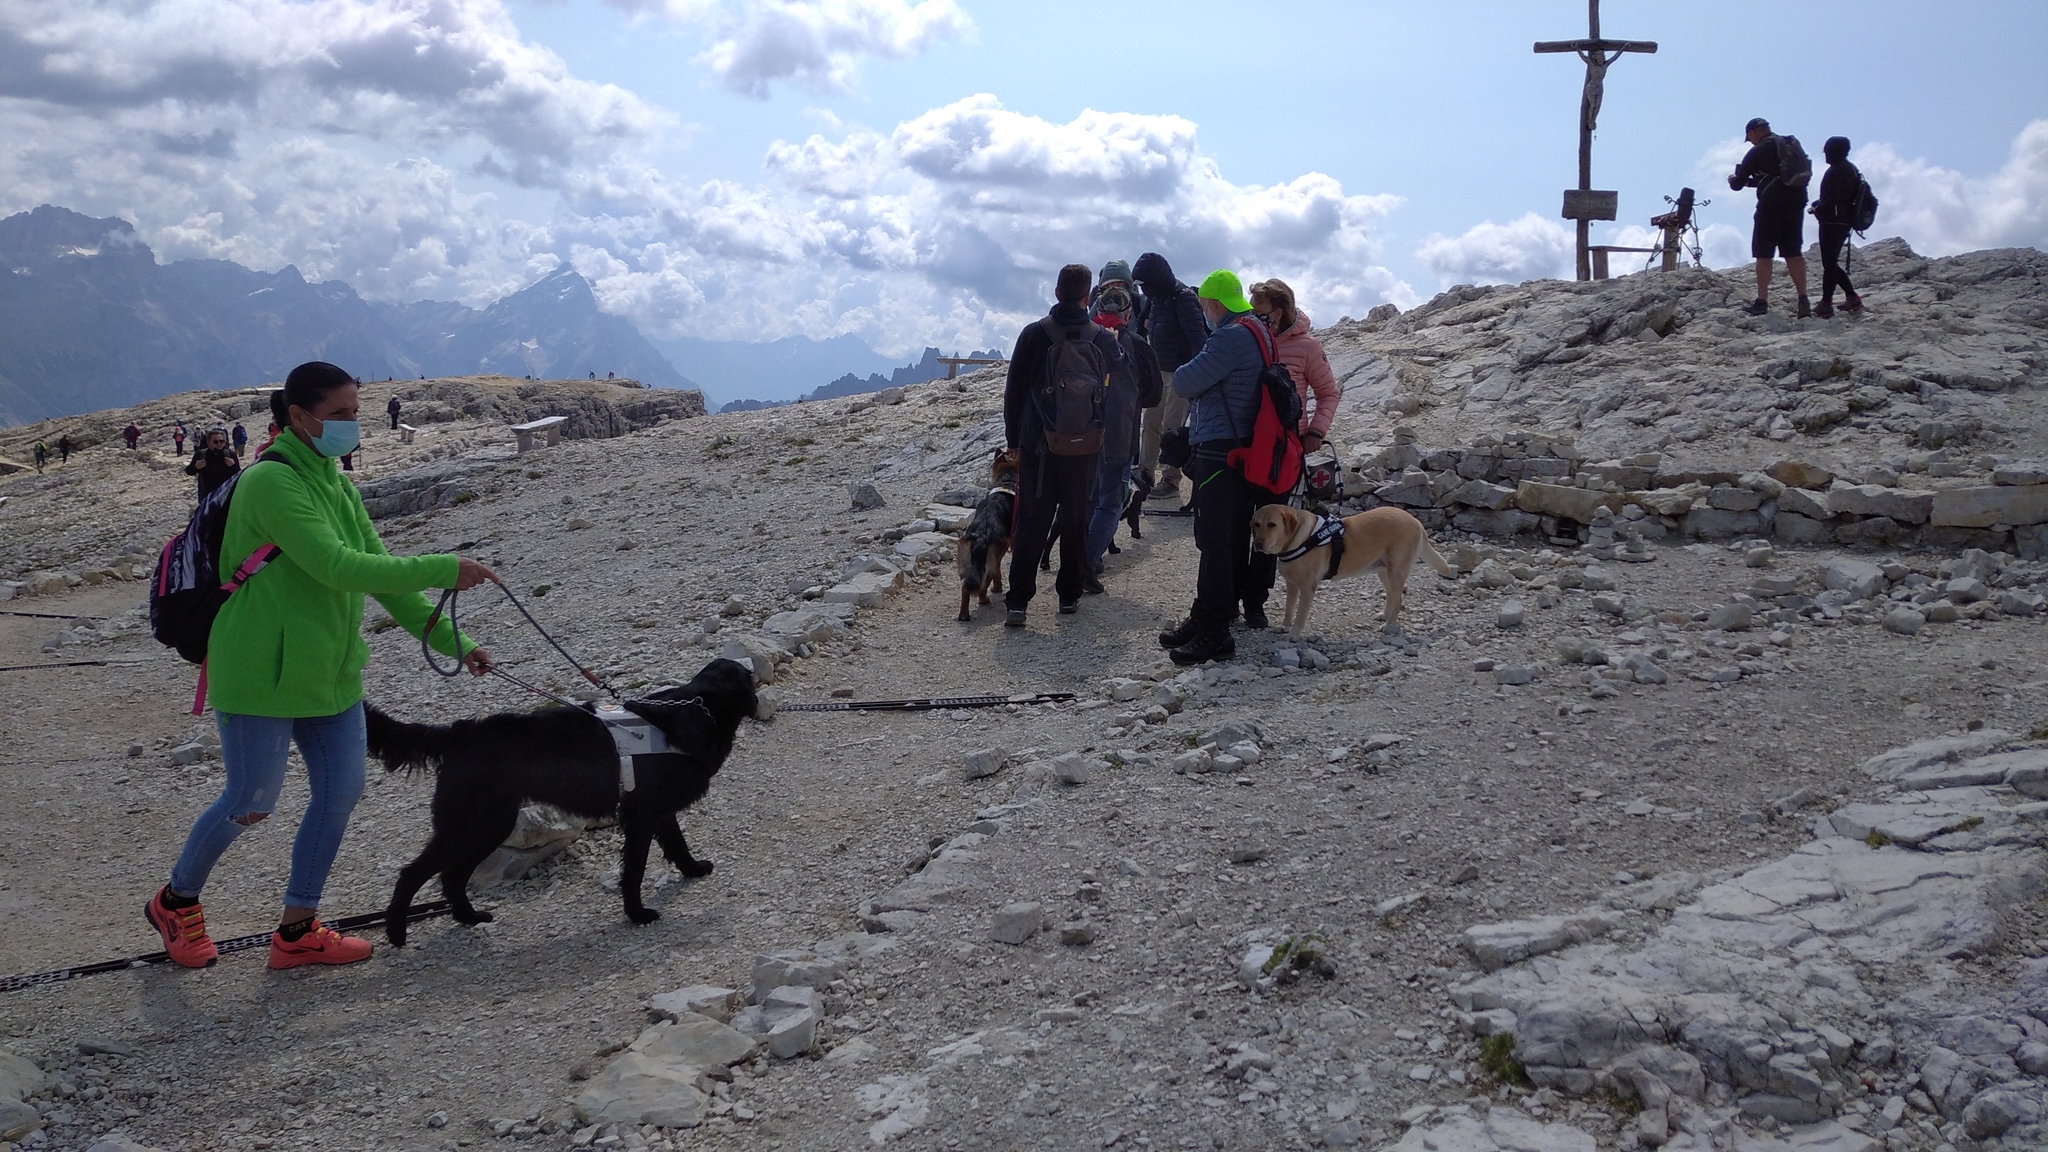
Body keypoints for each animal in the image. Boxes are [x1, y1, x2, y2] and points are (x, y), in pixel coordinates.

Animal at [364, 651, 757, 938]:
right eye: (749, 679)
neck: (697, 709)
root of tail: (457, 732)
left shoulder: (659, 810)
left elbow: (677, 845)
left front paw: (693, 869)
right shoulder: (641, 814)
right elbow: (635, 868)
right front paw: (637, 913)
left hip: (489, 825)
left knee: (451, 876)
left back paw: (469, 917)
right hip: (471, 825)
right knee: (414, 873)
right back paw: (397, 931)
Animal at [958, 444, 1024, 614]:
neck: (1006, 481)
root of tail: (981, 536)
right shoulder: (1003, 549)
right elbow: (998, 573)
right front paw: (997, 588)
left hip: (969, 563)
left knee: (965, 588)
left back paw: (964, 615)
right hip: (990, 560)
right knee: (982, 584)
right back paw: (984, 600)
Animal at [1245, 502, 1458, 635]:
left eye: (1272, 525)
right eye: (1256, 524)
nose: (1258, 544)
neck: (1296, 540)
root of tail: (1416, 521)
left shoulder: (1307, 587)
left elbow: (1300, 614)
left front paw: (1294, 634)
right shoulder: (1292, 584)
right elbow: (1289, 609)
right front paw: (1285, 626)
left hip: (1396, 571)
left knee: (1398, 599)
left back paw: (1389, 626)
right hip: (1383, 571)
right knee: (1391, 595)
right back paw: (1384, 616)